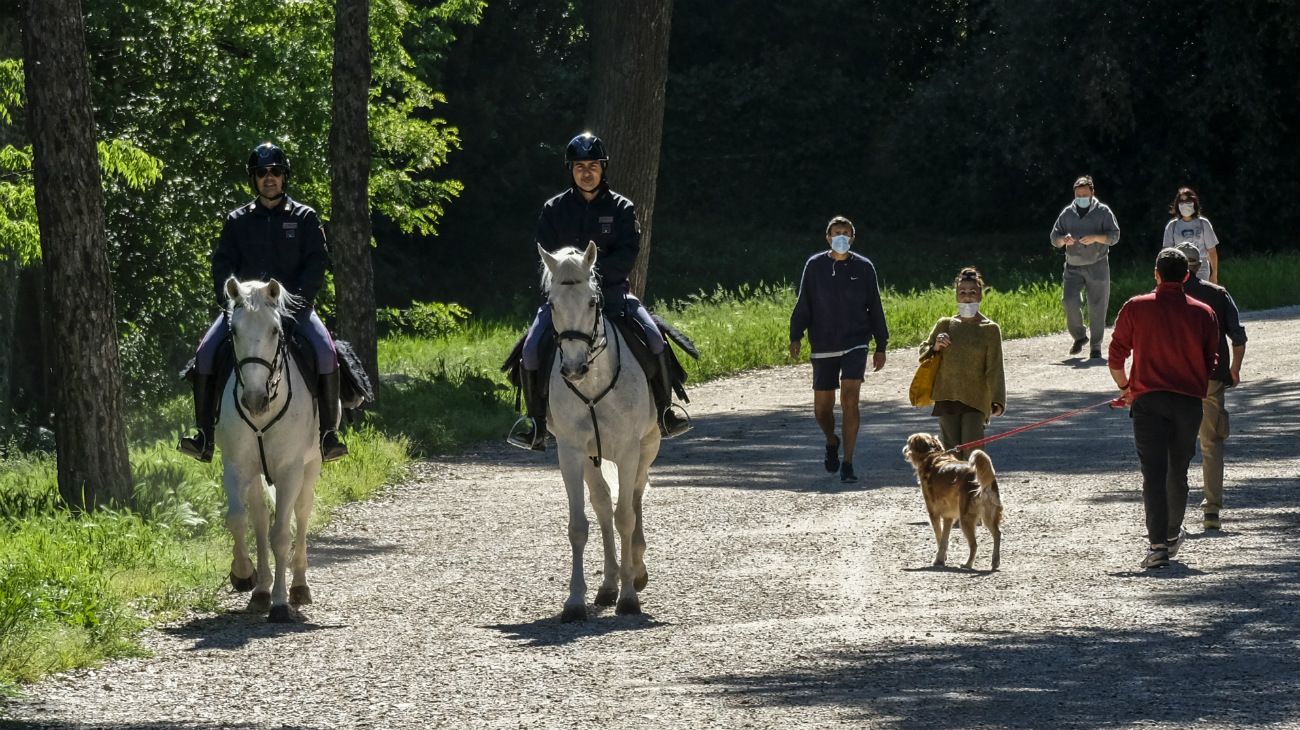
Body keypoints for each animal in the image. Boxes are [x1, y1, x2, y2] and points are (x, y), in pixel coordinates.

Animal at [214, 276, 323, 618]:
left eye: (275, 330)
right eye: (234, 331)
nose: (254, 399)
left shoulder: (290, 470)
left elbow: (281, 534)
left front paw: (280, 603)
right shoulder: (236, 465)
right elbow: (238, 520)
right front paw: (243, 575)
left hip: (311, 465)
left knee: (301, 513)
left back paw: (298, 587)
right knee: (260, 520)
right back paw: (260, 591)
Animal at [538, 244, 660, 618]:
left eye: (593, 301)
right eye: (552, 304)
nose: (574, 368)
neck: (592, 384)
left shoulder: (629, 451)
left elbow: (626, 517)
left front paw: (630, 598)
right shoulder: (570, 452)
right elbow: (579, 525)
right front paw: (575, 601)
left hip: (647, 447)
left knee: (633, 498)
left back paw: (635, 570)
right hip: (592, 457)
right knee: (604, 504)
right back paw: (608, 585)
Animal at [904, 431, 1003, 568]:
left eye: (909, 443)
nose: (904, 450)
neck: (932, 455)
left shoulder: (933, 514)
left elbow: (939, 537)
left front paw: (939, 559)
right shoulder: (948, 517)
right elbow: (944, 540)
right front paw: (941, 558)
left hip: (965, 518)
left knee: (974, 544)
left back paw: (968, 564)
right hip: (988, 516)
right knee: (997, 534)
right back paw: (995, 561)